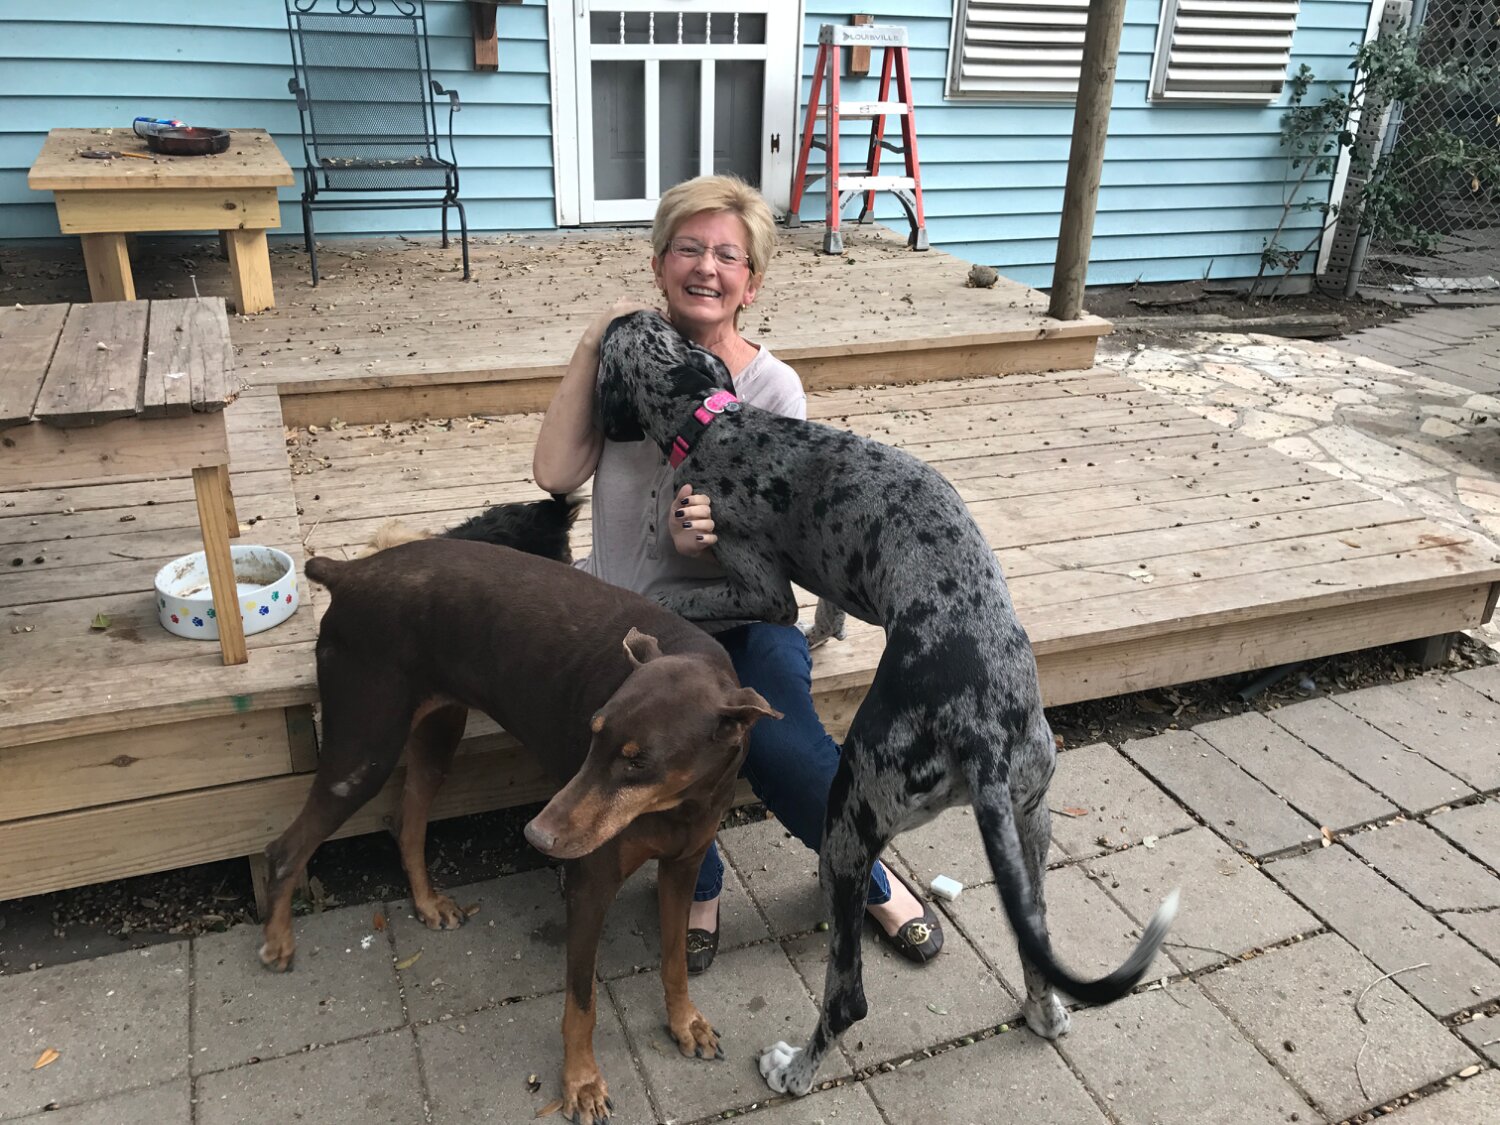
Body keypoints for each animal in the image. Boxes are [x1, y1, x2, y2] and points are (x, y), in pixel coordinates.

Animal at [259, 499, 777, 1125]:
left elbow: (675, 958)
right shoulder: (590, 883)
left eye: (638, 761)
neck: (678, 801)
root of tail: (351, 572)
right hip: (364, 748)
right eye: (593, 733)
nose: (537, 835)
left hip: (436, 730)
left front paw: (685, 1023)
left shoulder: (684, 863)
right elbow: (582, 1001)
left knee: (407, 821)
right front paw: (582, 1082)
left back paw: (427, 903)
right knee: (286, 847)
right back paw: (279, 941)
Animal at [596, 310, 1179, 1096]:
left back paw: (794, 1070)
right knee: (1035, 942)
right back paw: (1044, 1013)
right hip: (1032, 818)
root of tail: (980, 731)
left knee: (847, 996)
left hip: (848, 819)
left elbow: (682, 600)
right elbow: (827, 610)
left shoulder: (759, 586)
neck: (712, 418)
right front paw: (823, 635)